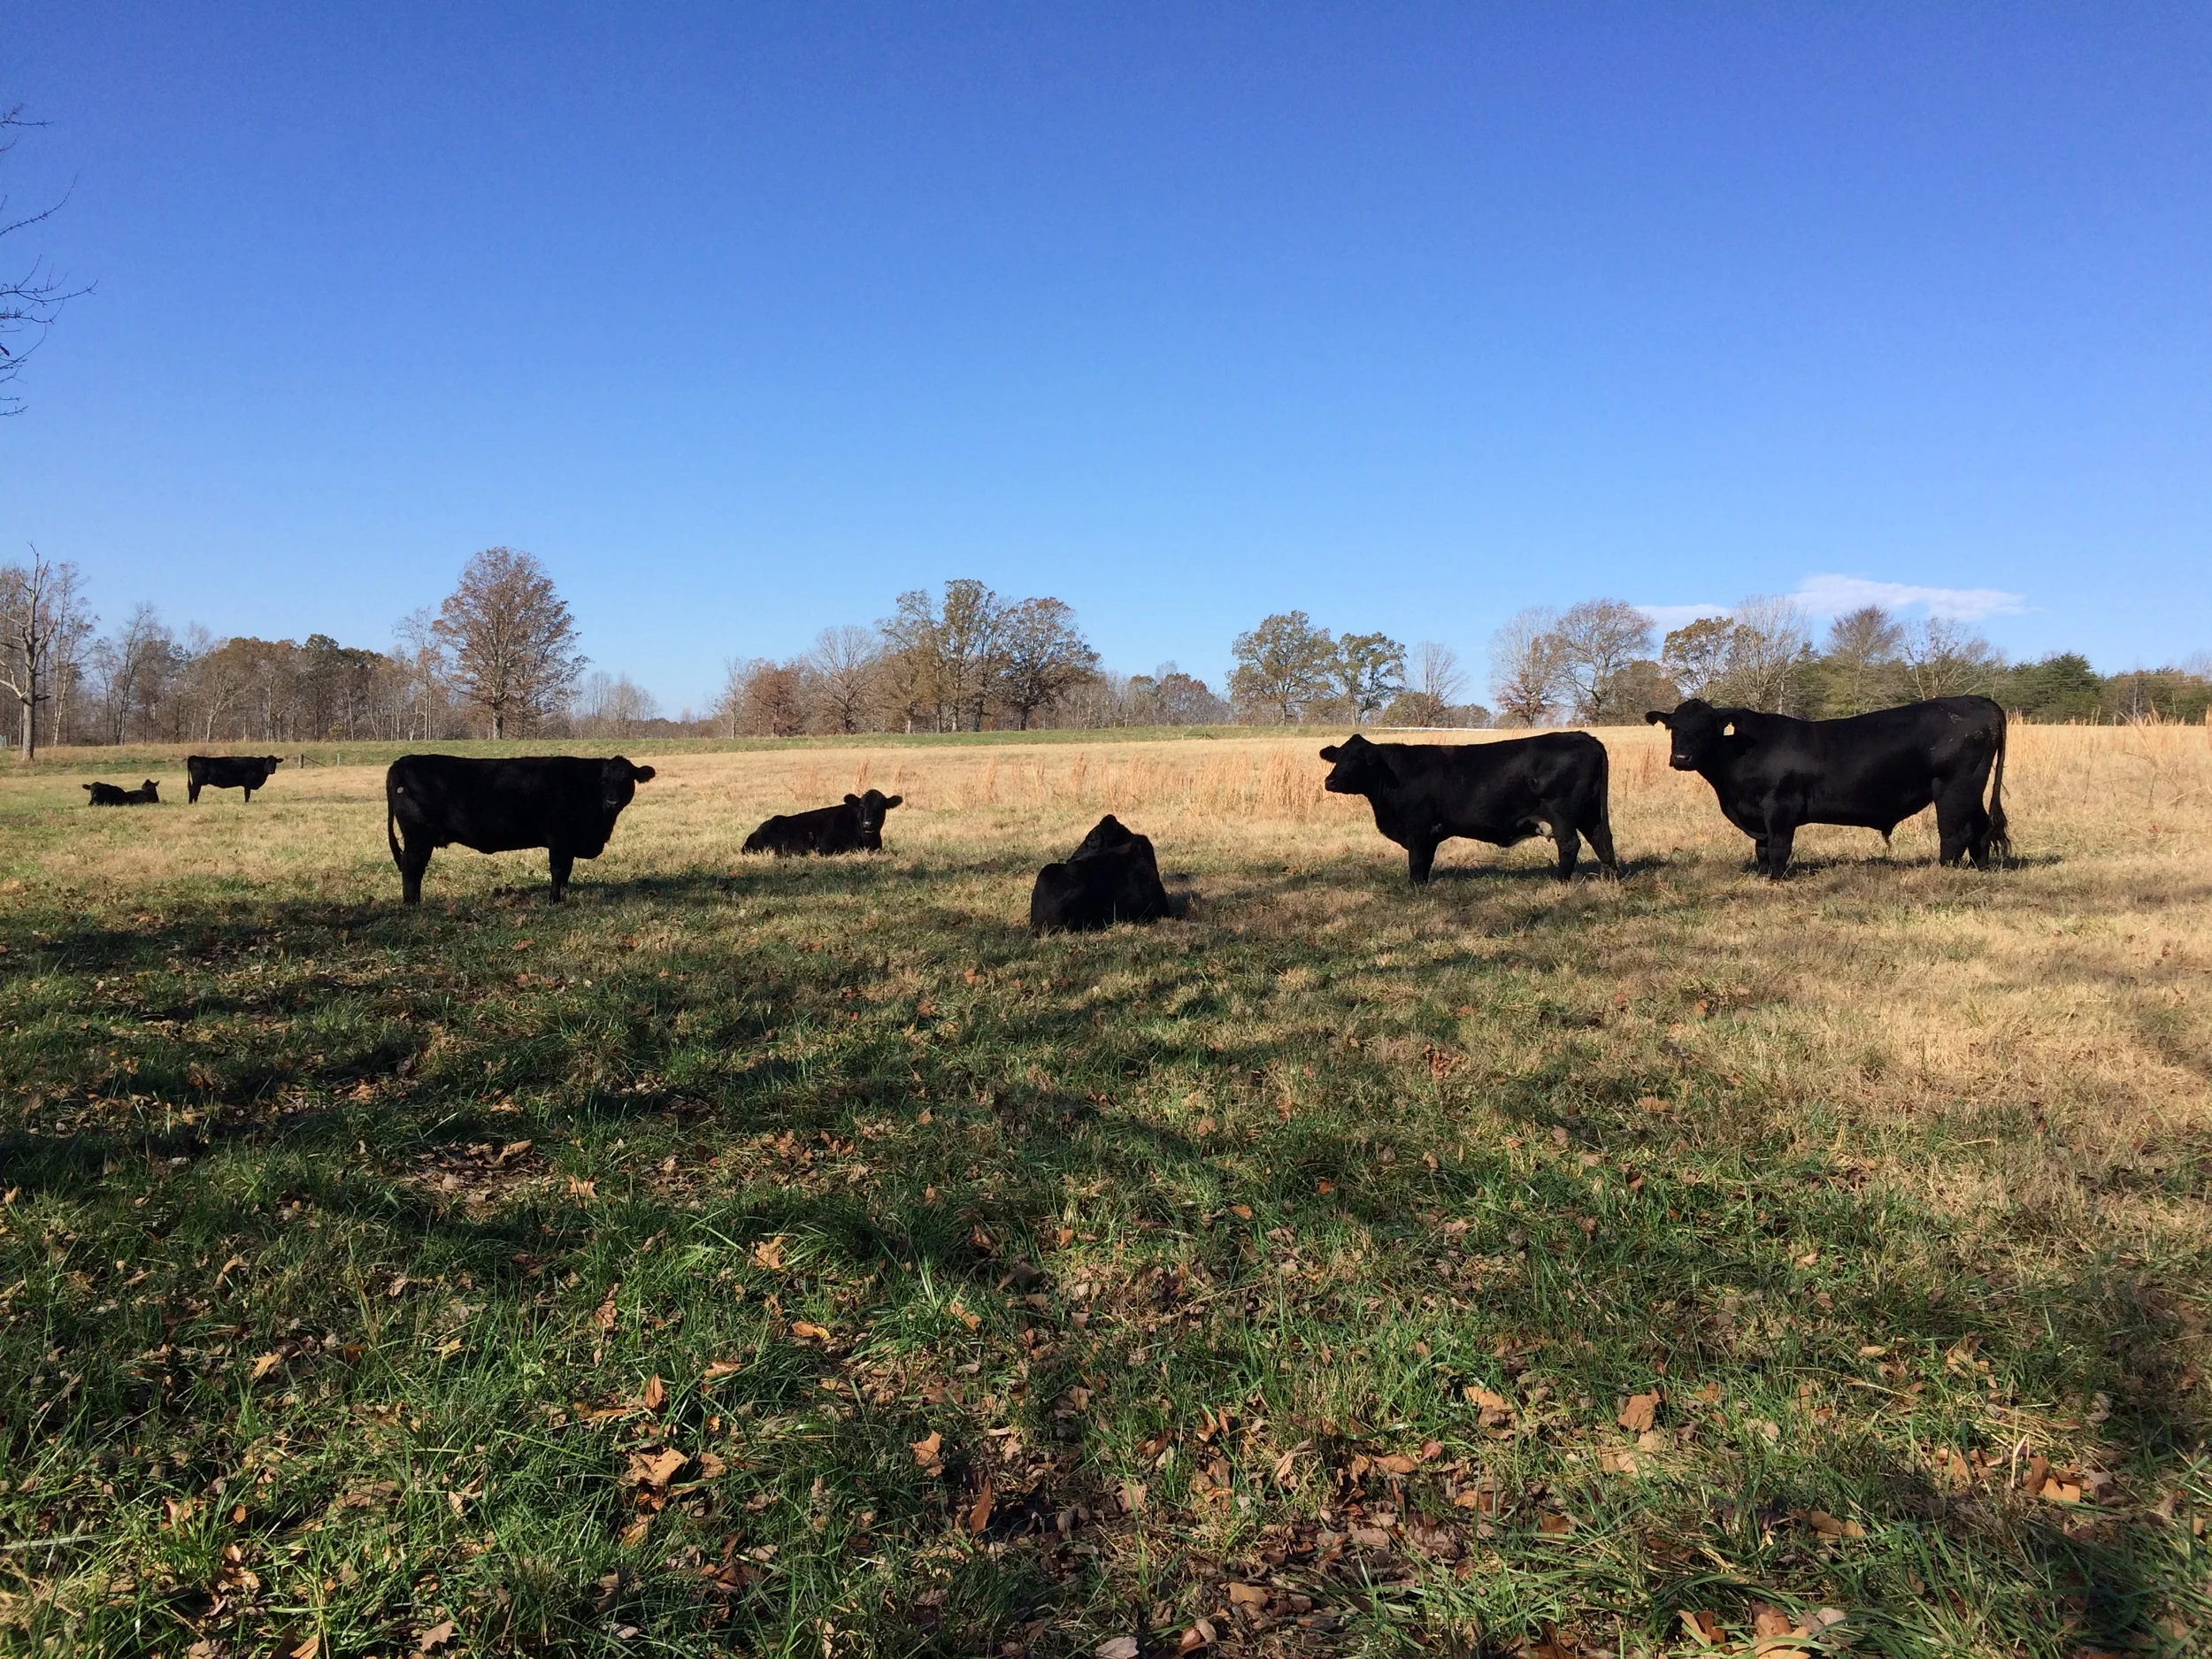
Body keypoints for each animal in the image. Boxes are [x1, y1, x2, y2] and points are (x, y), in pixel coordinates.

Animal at [385, 754, 657, 904]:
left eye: (627, 780)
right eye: (603, 781)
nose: (612, 802)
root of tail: (403, 761)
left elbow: (567, 873)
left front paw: (564, 895)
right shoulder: (559, 838)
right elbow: (559, 870)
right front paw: (555, 901)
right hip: (418, 837)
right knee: (412, 868)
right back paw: (412, 904)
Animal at [1318, 731, 1618, 883]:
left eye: (1358, 760)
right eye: (1338, 757)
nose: (1329, 781)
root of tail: (1583, 736)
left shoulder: (1419, 828)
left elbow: (1417, 862)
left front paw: (1415, 888)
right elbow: (1425, 862)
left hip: (1562, 814)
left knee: (1570, 844)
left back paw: (1560, 881)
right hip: (1590, 813)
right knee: (1602, 840)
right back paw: (1610, 878)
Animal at [1643, 695, 2009, 878]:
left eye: (1707, 727)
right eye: (1674, 727)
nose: (1681, 757)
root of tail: (1978, 700)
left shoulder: (1780, 807)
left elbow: (1778, 846)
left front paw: (1777, 879)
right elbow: (1761, 849)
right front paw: (1761, 876)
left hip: (1953, 788)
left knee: (1954, 832)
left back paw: (1944, 871)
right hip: (1971, 789)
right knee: (1980, 827)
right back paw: (1981, 869)